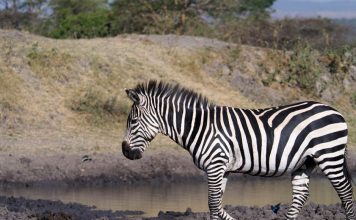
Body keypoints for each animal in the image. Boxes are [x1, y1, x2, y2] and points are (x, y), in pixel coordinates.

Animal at [121, 81, 354, 220]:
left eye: (133, 121)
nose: (125, 152)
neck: (199, 127)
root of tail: (336, 111)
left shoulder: (215, 165)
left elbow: (213, 204)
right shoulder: (222, 169)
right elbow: (216, 205)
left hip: (329, 155)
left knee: (346, 193)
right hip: (304, 162)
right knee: (300, 196)